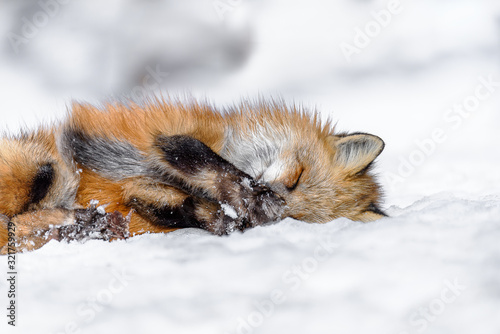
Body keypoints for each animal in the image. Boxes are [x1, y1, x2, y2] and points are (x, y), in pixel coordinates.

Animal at [0, 98, 386, 252]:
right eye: (296, 177)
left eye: (294, 219)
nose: (269, 203)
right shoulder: (159, 137)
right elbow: (203, 158)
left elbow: (186, 209)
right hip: (44, 169)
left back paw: (79, 226)